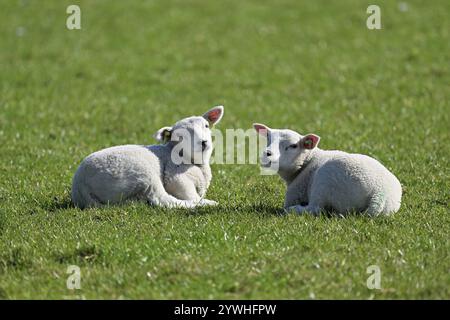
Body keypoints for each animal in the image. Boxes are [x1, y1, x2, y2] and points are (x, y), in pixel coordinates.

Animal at [71, 106, 224, 209]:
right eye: (181, 135)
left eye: (206, 125)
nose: (203, 142)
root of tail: (80, 187)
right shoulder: (175, 178)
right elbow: (189, 193)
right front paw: (205, 202)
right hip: (143, 174)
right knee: (163, 200)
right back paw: (203, 204)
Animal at [251, 124, 402, 216]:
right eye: (268, 138)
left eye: (293, 145)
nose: (266, 154)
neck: (308, 162)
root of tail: (379, 193)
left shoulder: (294, 193)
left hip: (324, 182)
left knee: (316, 209)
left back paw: (294, 210)